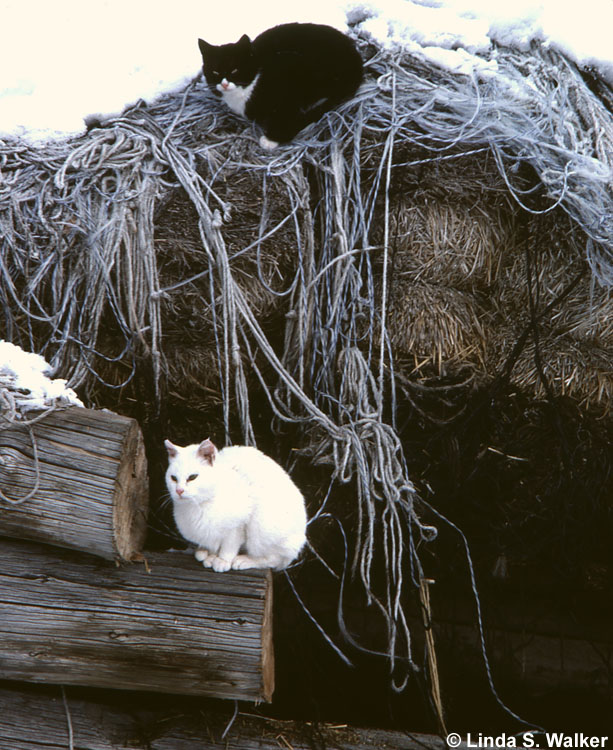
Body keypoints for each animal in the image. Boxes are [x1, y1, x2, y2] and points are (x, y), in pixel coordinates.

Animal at [164, 438, 306, 572]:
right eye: (173, 478)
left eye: (193, 477)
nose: (179, 491)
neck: (199, 505)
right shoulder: (211, 531)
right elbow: (214, 544)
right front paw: (211, 556)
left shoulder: (237, 526)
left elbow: (229, 546)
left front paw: (222, 560)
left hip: (262, 528)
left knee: (274, 559)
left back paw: (245, 560)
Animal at [198, 22, 364, 149]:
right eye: (215, 72)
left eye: (235, 70)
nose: (224, 84)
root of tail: (357, 60)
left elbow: (285, 114)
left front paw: (271, 140)